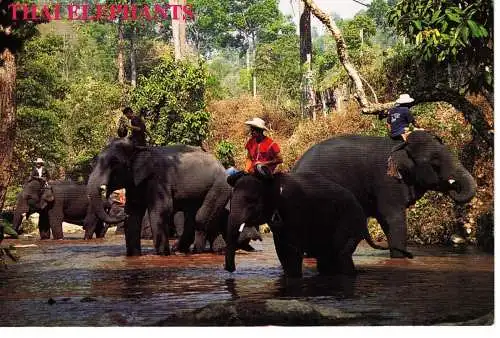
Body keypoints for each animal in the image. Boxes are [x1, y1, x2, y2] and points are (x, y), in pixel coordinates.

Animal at [86, 137, 232, 256]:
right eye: (94, 162)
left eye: (115, 162)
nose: (121, 213)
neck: (139, 148)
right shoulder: (135, 184)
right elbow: (134, 212)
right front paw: (134, 256)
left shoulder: (159, 179)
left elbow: (160, 210)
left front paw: (162, 254)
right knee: (192, 218)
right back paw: (180, 250)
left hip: (219, 186)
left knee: (200, 218)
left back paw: (196, 251)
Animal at [292, 131, 476, 258]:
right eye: (435, 164)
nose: (453, 185)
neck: (400, 146)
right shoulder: (387, 182)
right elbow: (393, 218)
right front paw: (400, 257)